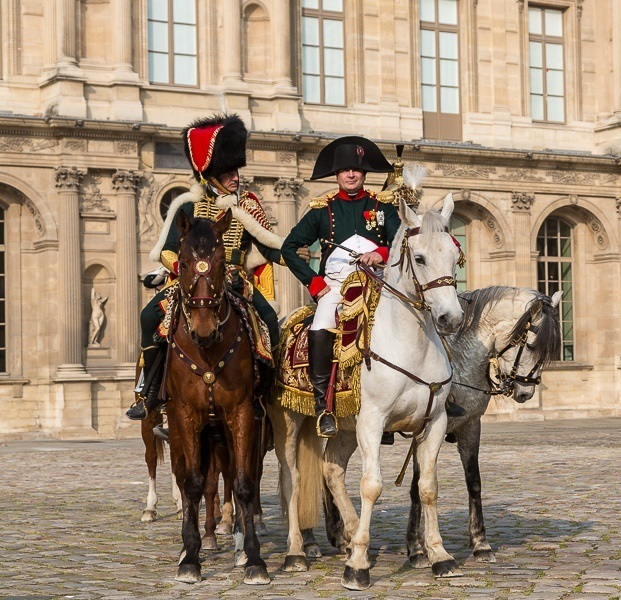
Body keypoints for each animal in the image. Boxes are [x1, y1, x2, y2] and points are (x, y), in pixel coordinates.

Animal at [163, 209, 268, 584]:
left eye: (223, 263)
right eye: (182, 262)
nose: (204, 329)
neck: (208, 353)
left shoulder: (242, 414)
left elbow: (243, 483)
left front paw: (253, 558)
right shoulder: (185, 415)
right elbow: (193, 484)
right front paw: (190, 558)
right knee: (187, 480)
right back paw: (192, 542)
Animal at [268, 195, 462, 588]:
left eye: (455, 255)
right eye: (420, 258)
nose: (451, 319)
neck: (412, 344)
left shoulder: (434, 422)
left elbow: (428, 486)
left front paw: (438, 555)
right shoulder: (372, 421)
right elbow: (372, 485)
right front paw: (356, 566)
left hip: (344, 429)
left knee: (331, 471)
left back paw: (351, 533)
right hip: (289, 423)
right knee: (293, 478)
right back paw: (297, 552)